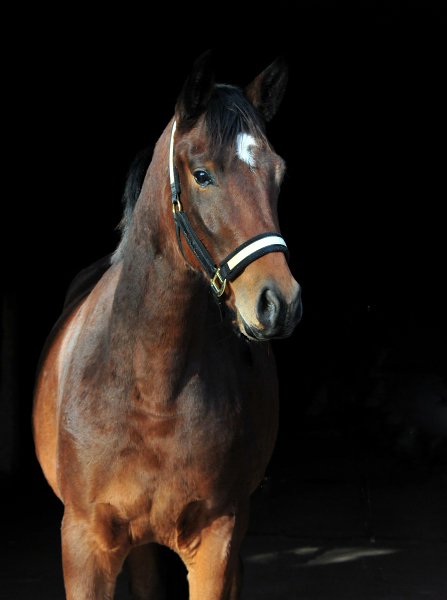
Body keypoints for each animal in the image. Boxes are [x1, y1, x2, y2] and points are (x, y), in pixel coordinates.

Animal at [33, 51, 302, 600]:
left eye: (278, 174)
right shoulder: (84, 545)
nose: (279, 303)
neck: (151, 389)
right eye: (202, 174)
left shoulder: (216, 541)